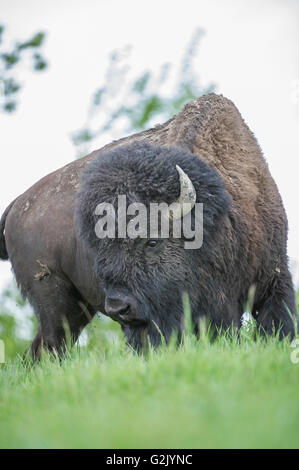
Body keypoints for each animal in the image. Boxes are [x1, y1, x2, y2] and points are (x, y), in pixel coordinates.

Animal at [0, 92, 298, 356]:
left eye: (152, 241)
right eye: (99, 250)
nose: (118, 308)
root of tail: (17, 205)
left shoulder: (274, 278)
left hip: (76, 310)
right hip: (56, 302)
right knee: (50, 346)